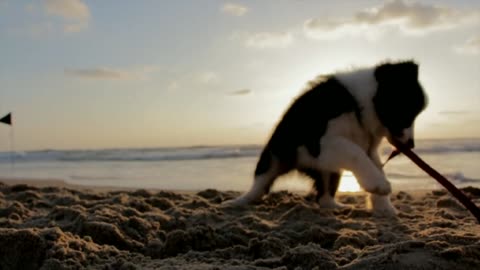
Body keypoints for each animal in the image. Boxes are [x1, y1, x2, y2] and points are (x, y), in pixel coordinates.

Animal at [228, 60, 428, 215]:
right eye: (406, 114)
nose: (411, 145)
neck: (358, 104)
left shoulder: (368, 147)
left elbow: (375, 165)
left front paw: (385, 207)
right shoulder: (320, 142)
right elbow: (354, 151)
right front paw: (379, 185)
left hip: (329, 169)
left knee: (323, 195)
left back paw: (336, 206)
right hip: (274, 155)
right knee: (260, 183)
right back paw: (238, 202)